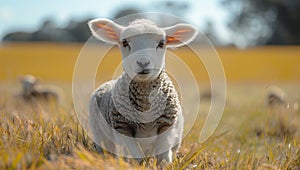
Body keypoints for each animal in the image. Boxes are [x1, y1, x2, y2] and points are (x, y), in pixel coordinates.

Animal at [88, 17, 198, 163]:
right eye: (124, 42)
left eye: (161, 43)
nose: (143, 63)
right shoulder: (123, 127)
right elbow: (136, 157)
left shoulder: (166, 126)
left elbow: (163, 157)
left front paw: (164, 164)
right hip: (100, 134)